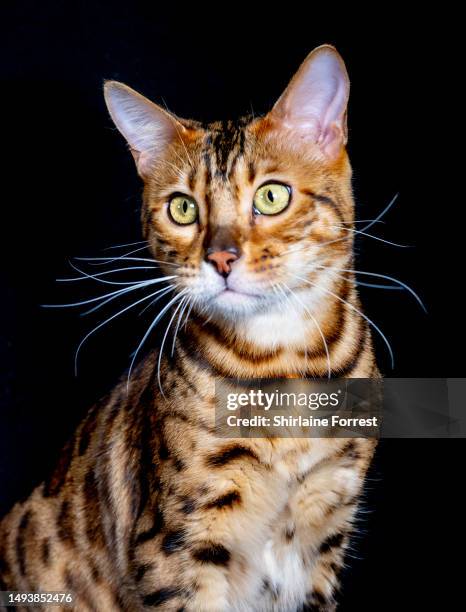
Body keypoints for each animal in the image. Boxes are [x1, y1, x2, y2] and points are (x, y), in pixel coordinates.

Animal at [0, 45, 378, 608]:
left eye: (271, 196)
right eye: (183, 208)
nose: (221, 258)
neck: (283, 369)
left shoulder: (326, 527)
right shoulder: (175, 546)